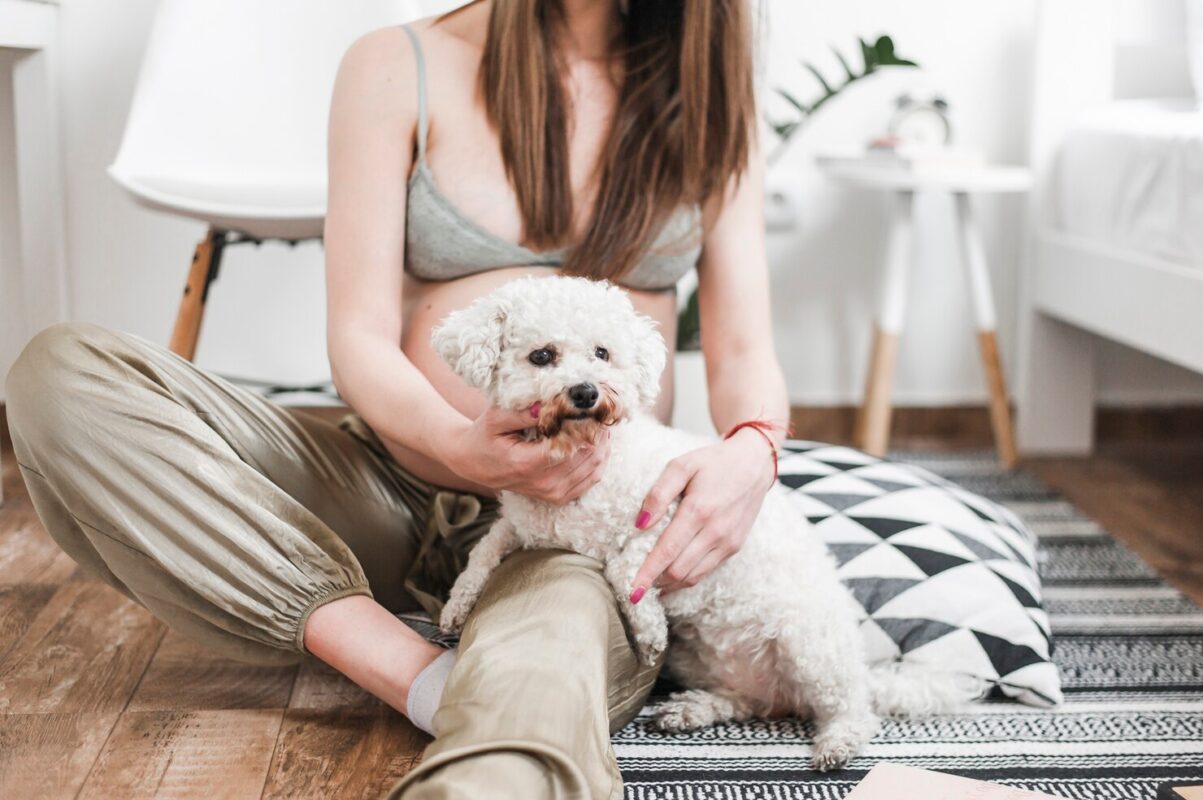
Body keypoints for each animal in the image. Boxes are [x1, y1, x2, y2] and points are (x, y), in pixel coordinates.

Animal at [432, 275, 977, 770]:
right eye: (541, 356)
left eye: (602, 353)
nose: (586, 392)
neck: (582, 457)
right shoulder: (521, 525)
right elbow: (483, 551)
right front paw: (457, 607)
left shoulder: (671, 514)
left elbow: (626, 568)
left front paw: (648, 627)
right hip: (705, 662)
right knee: (750, 702)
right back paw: (692, 710)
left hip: (809, 643)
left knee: (853, 707)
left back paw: (838, 741)